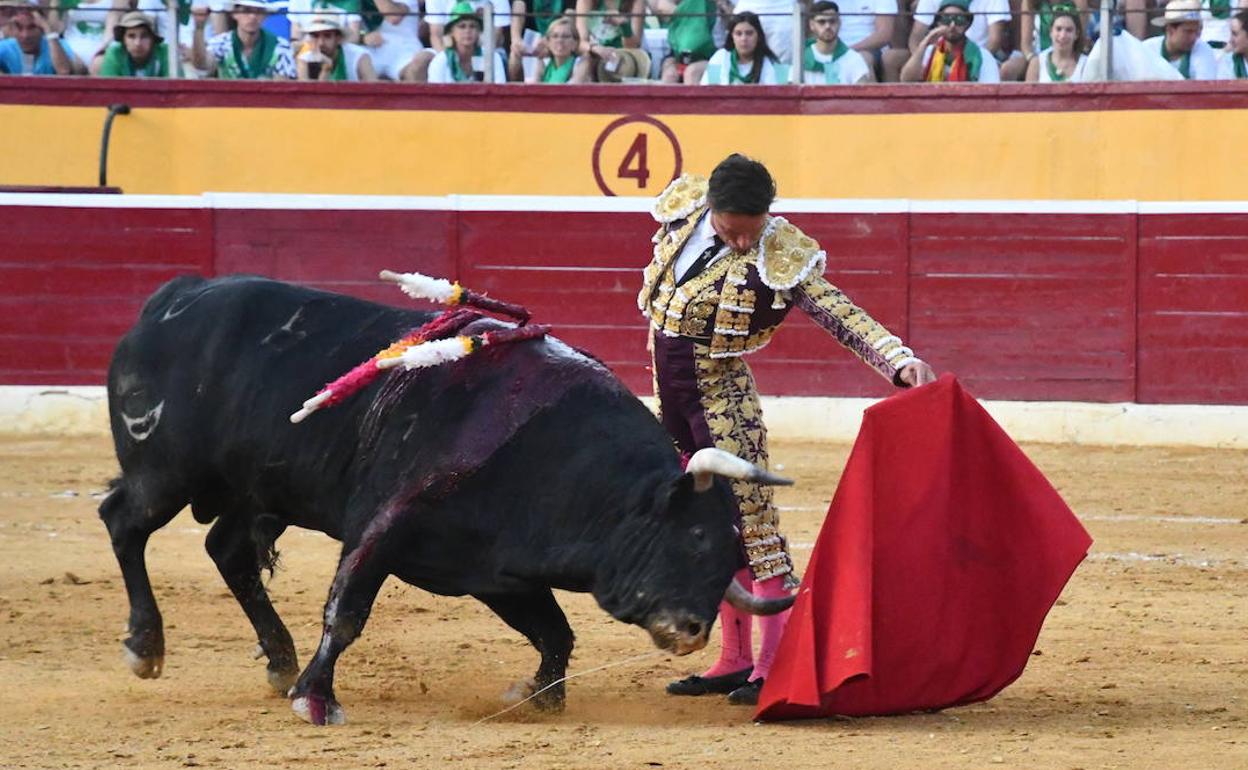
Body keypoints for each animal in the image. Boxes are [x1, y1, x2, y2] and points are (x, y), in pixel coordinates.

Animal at [104, 278, 788, 728]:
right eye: (695, 537)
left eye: (727, 559)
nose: (692, 630)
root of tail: (172, 298)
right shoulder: (381, 527)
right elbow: (345, 612)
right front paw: (316, 699)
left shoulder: (497, 571)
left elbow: (555, 632)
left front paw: (536, 696)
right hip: (166, 473)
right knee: (124, 522)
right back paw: (146, 647)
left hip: (256, 492)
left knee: (228, 550)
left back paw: (276, 659)